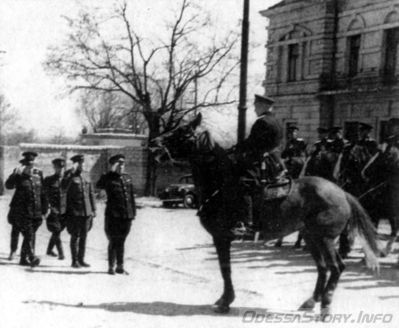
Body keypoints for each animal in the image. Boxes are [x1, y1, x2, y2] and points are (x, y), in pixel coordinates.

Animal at [153, 114, 382, 320]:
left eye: (182, 132)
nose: (154, 145)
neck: (220, 183)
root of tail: (341, 192)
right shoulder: (220, 238)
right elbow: (225, 269)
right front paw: (224, 299)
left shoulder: (221, 237)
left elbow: (225, 269)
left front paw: (226, 301)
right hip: (312, 237)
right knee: (323, 267)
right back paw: (311, 302)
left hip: (324, 239)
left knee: (336, 267)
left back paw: (325, 306)